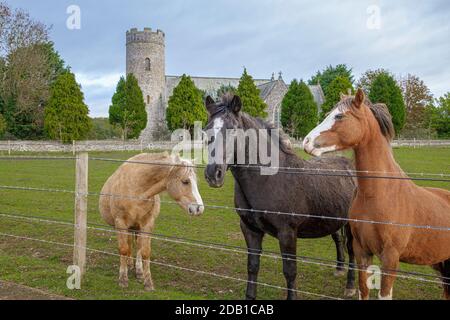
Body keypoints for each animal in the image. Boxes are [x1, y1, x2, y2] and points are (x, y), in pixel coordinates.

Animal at [100, 152, 204, 290]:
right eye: (185, 181)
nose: (199, 208)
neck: (136, 190)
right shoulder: (120, 223)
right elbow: (123, 249)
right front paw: (123, 278)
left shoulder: (147, 224)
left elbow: (145, 251)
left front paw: (147, 281)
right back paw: (129, 264)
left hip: (137, 227)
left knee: (137, 245)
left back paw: (138, 270)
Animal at [206, 94, 356, 298]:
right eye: (206, 130)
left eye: (233, 129)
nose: (213, 174)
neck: (270, 179)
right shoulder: (250, 229)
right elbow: (252, 266)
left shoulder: (287, 233)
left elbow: (290, 271)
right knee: (338, 240)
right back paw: (339, 269)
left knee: (352, 250)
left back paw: (350, 286)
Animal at [302, 89, 450, 298]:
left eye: (339, 116)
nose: (306, 142)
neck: (379, 195)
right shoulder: (362, 251)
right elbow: (363, 289)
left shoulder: (390, 258)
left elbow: (384, 293)